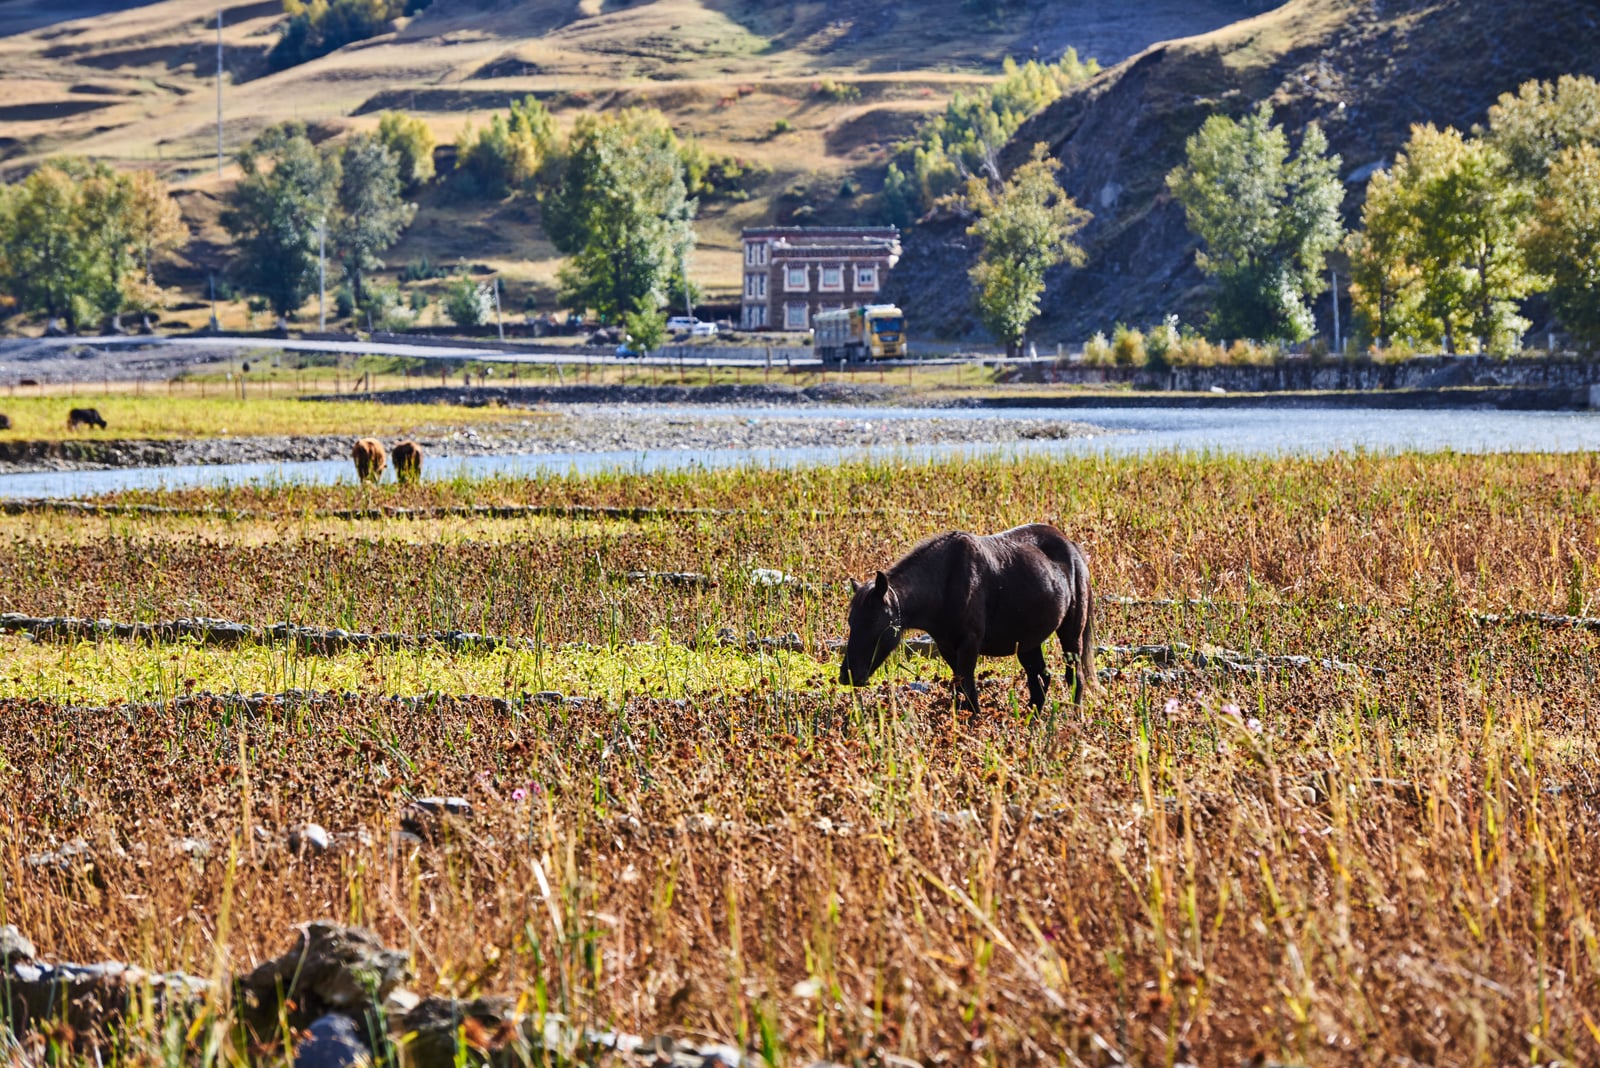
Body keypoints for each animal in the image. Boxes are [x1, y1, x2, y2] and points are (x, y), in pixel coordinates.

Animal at [840, 524, 1095, 713]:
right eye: (852, 622)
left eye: (876, 622)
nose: (848, 676)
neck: (944, 583)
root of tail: (1073, 549)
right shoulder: (947, 647)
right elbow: (961, 691)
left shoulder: (969, 645)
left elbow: (969, 692)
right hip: (1027, 642)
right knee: (1039, 680)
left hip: (1071, 633)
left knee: (1075, 677)